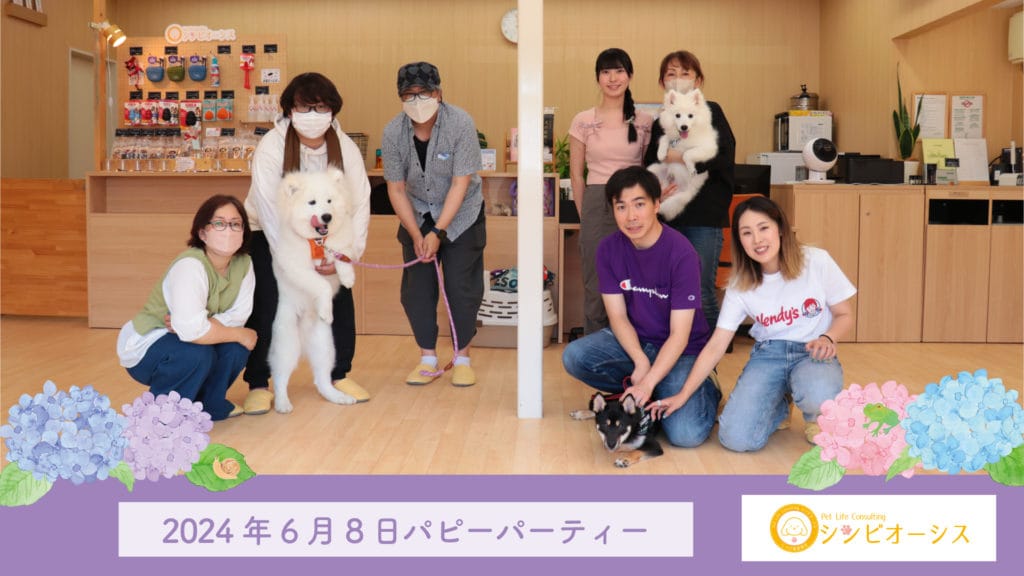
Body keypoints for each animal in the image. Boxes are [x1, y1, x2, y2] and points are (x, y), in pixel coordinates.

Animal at [269, 168, 358, 413]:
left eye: (329, 201)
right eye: (312, 202)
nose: (327, 216)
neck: (318, 241)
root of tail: (304, 339)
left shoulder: (341, 248)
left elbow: (344, 259)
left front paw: (348, 278)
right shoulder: (298, 269)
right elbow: (321, 285)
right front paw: (326, 310)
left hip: (325, 347)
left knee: (322, 379)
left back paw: (338, 397)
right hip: (286, 345)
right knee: (280, 377)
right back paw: (282, 404)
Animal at [647, 88, 718, 221]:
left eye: (690, 116)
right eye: (677, 115)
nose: (684, 127)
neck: (684, 139)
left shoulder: (708, 149)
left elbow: (687, 154)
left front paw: (691, 169)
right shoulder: (671, 138)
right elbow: (664, 138)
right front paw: (661, 153)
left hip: (679, 198)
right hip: (652, 170)